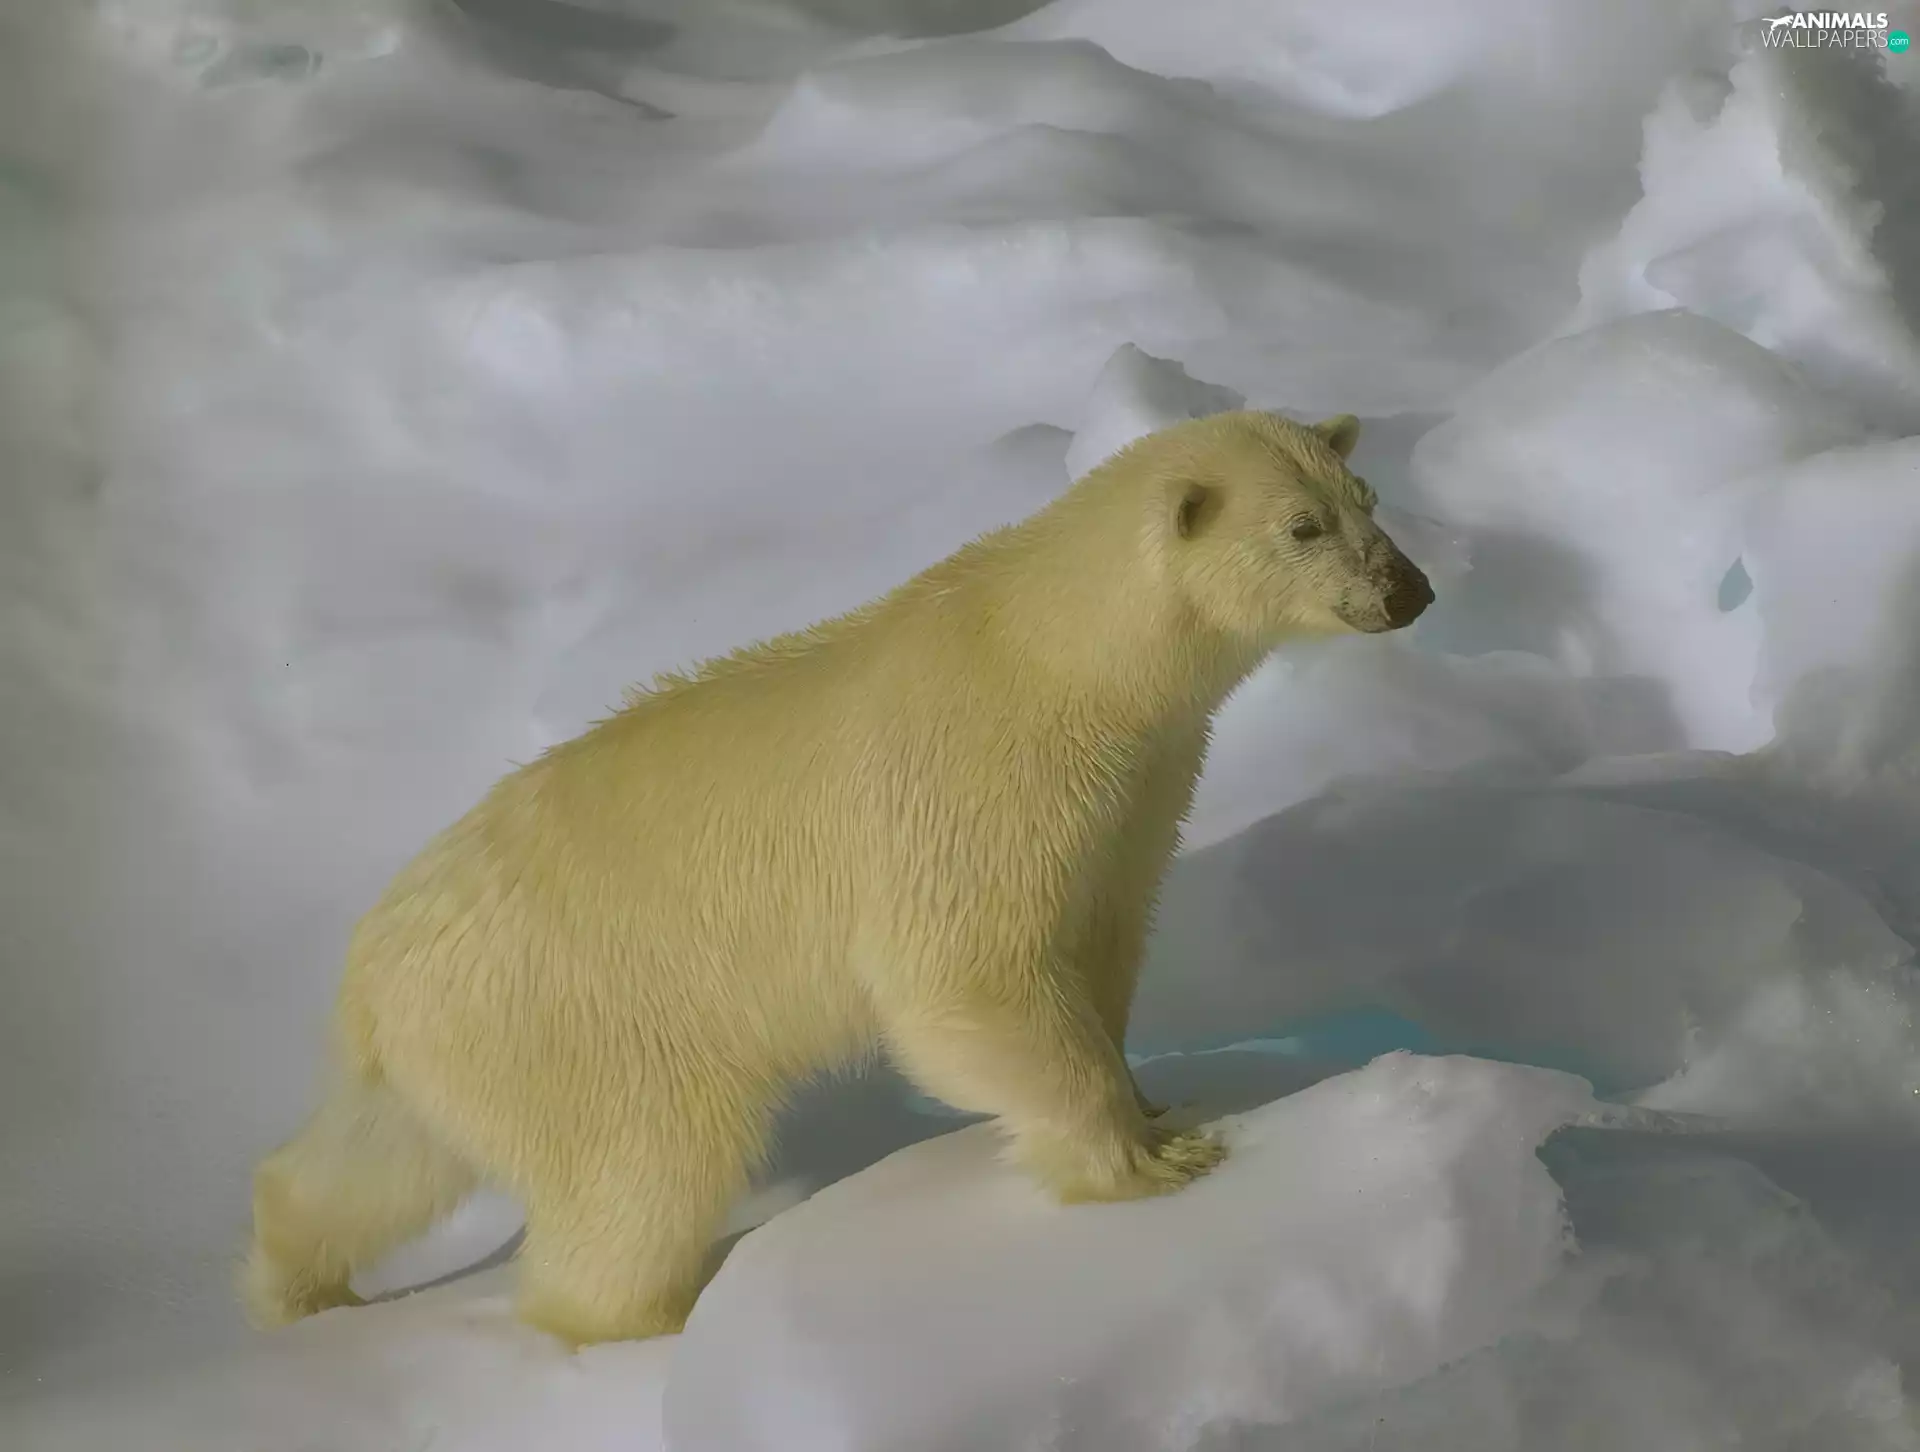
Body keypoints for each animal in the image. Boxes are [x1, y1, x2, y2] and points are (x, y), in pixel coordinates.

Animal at [241, 409, 1434, 1348]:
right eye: (1301, 525)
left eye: (1367, 496)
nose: (1410, 591)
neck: (1059, 660)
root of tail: (369, 974)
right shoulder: (976, 793)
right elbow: (967, 981)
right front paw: (1155, 1161)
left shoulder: (1134, 798)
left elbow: (1099, 944)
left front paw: (1157, 1099)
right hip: (593, 1014)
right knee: (644, 1172)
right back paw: (646, 1325)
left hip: (464, 1043)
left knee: (382, 1158)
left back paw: (297, 1282)